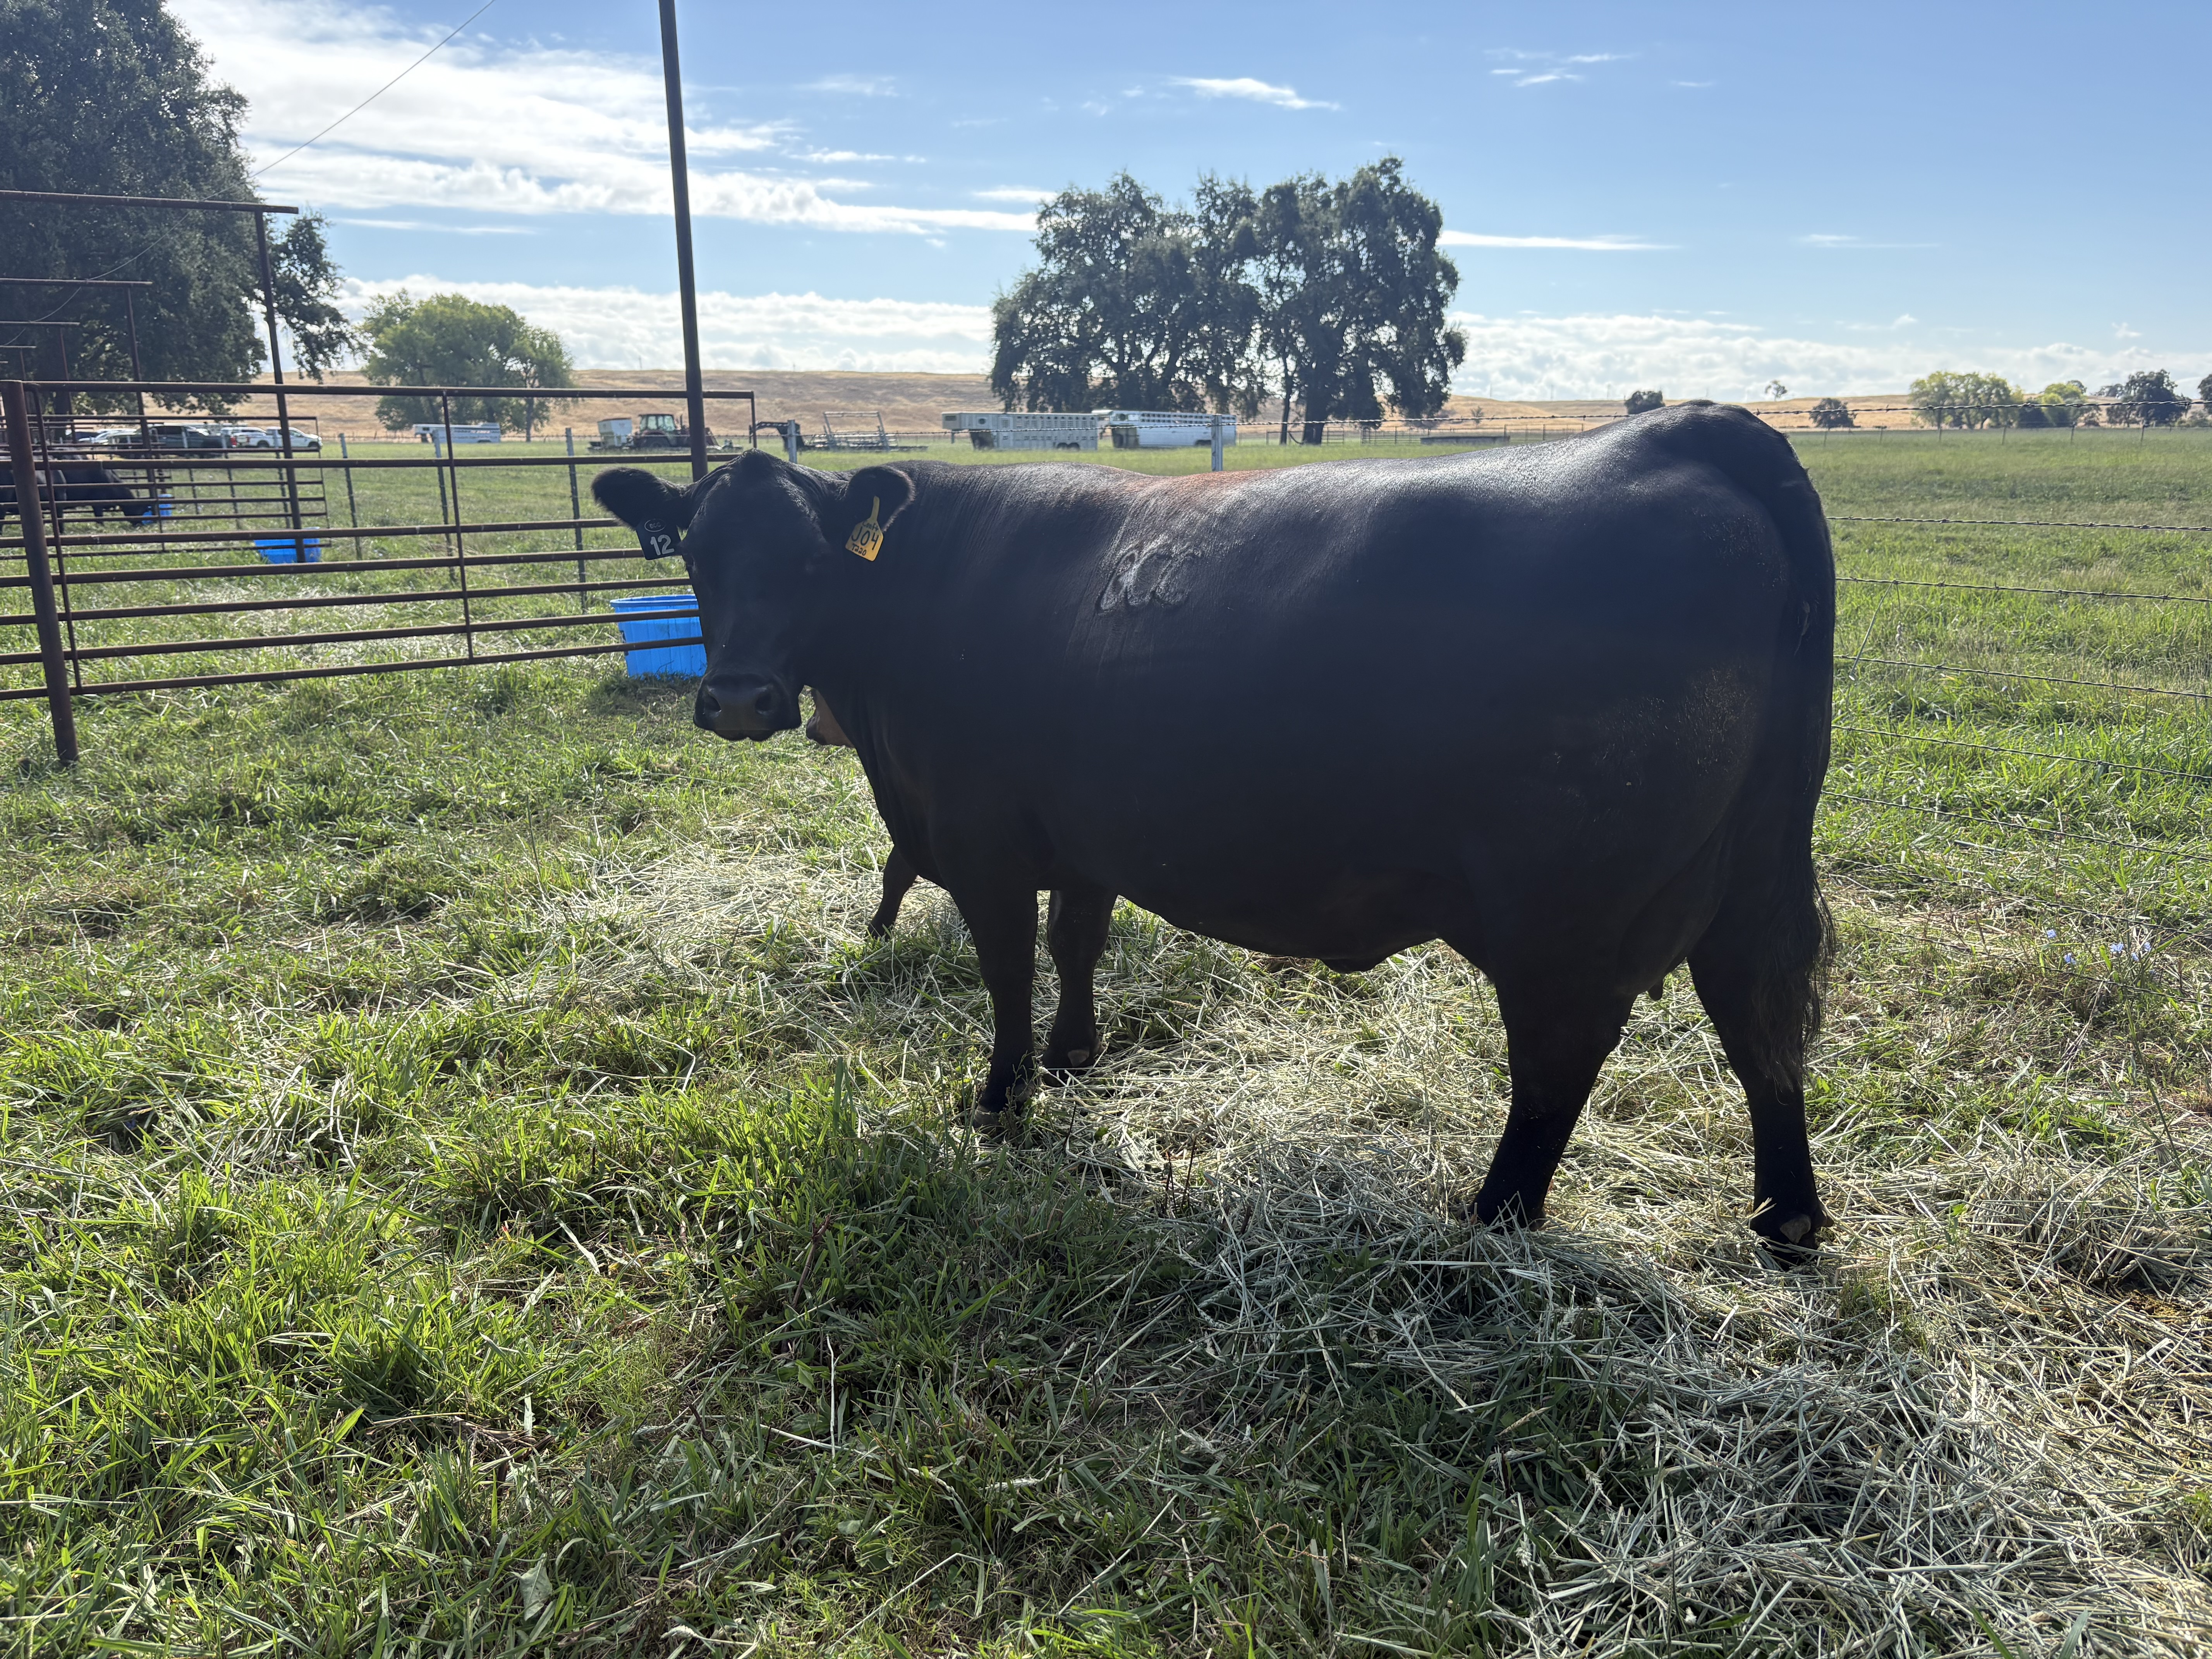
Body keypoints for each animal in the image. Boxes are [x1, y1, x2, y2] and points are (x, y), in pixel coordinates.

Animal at [594, 402, 1836, 1254]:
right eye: (695, 554)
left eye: (811, 558)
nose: (739, 699)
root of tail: (1678, 433)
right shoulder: (1086, 830)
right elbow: (1076, 943)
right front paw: (1076, 1059)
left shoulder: (981, 841)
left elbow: (1007, 968)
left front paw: (1001, 1100)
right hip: (1748, 875)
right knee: (1762, 1023)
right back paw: (1785, 1216)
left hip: (1562, 912)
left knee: (1559, 1060)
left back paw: (1490, 1221)